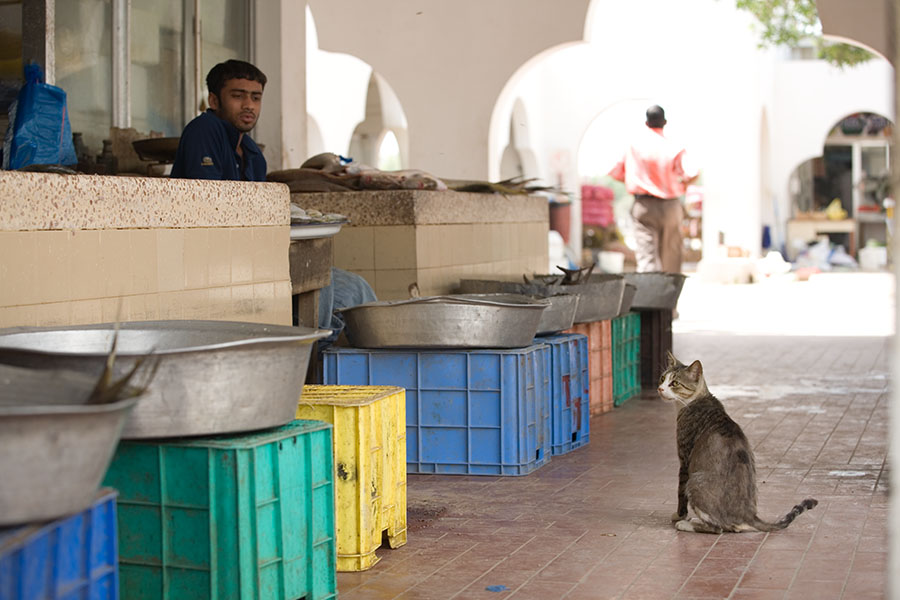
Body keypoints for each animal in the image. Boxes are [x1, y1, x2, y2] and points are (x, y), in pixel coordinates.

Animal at [656, 352, 820, 536]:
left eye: (675, 383)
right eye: (662, 378)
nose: (660, 388)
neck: (693, 401)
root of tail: (749, 514)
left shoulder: (684, 460)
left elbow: (680, 492)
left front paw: (679, 516)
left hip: (695, 482)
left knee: (717, 528)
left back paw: (687, 524)